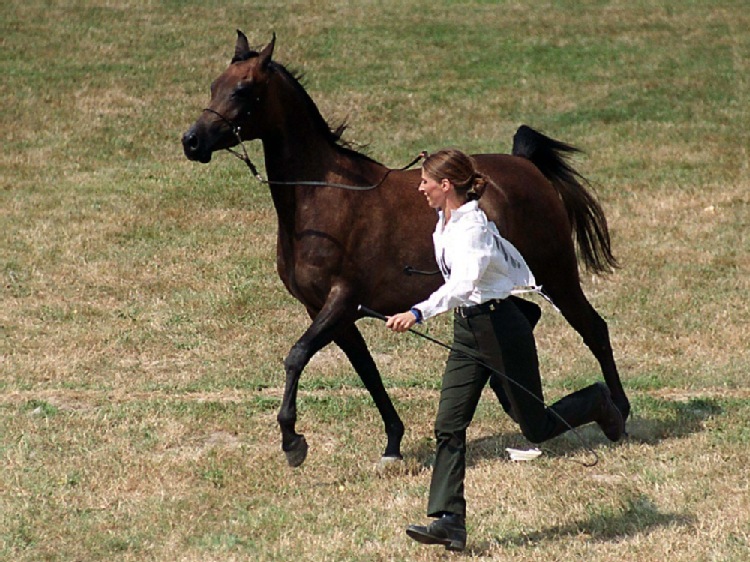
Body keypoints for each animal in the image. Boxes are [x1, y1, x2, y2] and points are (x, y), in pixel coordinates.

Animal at [185, 32, 632, 466]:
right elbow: (367, 371)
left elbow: (296, 356)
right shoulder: (329, 311)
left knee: (593, 328)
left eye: (243, 89)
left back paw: (620, 413)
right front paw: (392, 443)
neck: (323, 197)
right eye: (214, 85)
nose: (191, 141)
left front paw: (292, 440)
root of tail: (527, 166)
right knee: (528, 316)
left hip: (557, 274)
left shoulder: (340, 301)